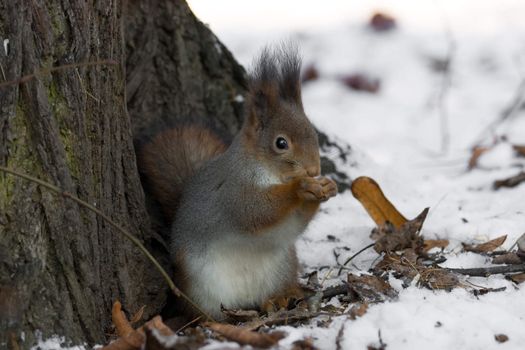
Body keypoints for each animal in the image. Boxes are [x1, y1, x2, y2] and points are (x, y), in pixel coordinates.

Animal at [135, 45, 338, 318]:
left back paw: (279, 298)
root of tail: (244, 301)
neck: (270, 173)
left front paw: (327, 186)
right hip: (200, 287)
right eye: (281, 143)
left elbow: (293, 225)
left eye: (314, 134)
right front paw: (301, 187)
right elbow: (256, 211)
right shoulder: (233, 192)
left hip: (282, 267)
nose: (313, 169)